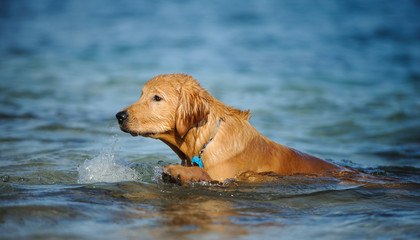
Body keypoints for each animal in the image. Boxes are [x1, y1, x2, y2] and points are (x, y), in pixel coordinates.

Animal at [116, 74, 346, 185]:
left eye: (157, 98)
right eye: (141, 94)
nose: (119, 116)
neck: (205, 141)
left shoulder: (225, 175)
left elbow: (204, 173)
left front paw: (177, 172)